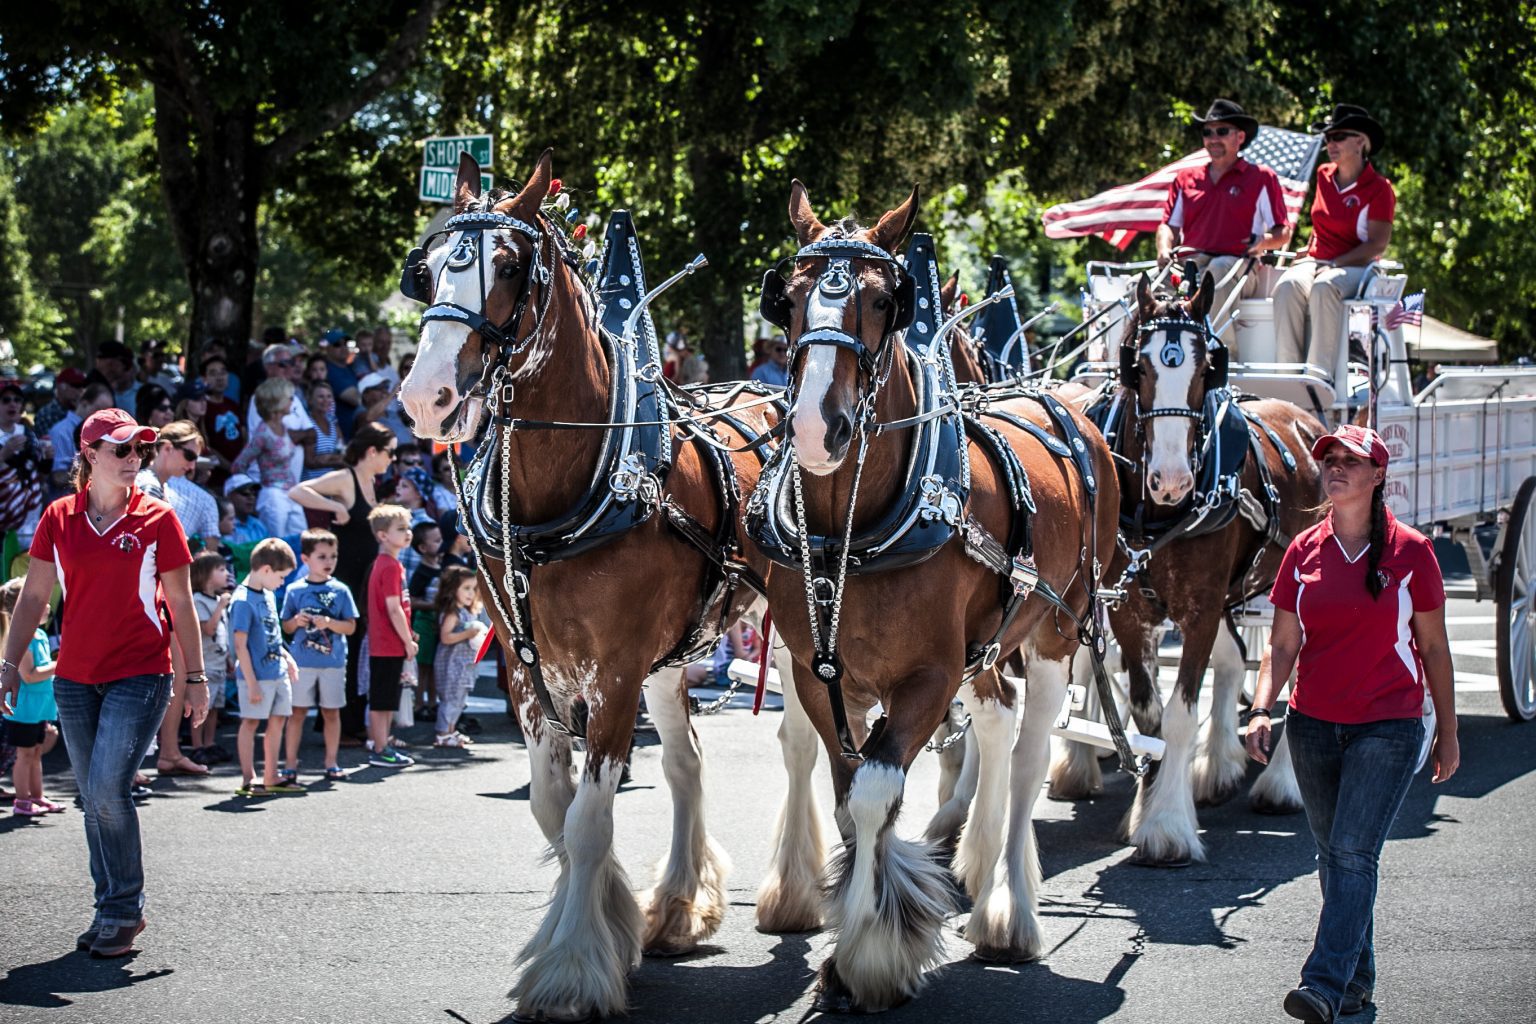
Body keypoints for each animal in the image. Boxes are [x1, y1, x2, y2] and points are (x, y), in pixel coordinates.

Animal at [396, 148, 804, 1019]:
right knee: (687, 763)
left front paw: (572, 969)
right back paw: (680, 905)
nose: (427, 395)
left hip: (792, 632)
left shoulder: (614, 673)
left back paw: (801, 891)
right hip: (673, 658)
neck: (569, 490)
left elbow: (587, 820)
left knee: (801, 744)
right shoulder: (527, 670)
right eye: (428, 266)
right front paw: (613, 922)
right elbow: (557, 810)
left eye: (508, 266)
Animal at [752, 181, 1118, 1007]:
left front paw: (868, 954)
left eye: (886, 299)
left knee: (1028, 753)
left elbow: (874, 792)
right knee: (996, 724)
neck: (849, 536)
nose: (816, 428)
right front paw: (856, 935)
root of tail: (1068, 405)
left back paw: (1009, 910)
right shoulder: (822, 679)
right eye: (788, 297)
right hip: (988, 648)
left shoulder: (927, 678)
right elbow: (849, 794)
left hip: (1057, 630)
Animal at [1050, 274, 1327, 865]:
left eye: (1206, 372)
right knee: (1235, 662)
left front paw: (1168, 827)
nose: (1172, 481)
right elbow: (1148, 714)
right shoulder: (1129, 609)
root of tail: (1306, 418)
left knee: (1292, 674)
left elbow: (1179, 715)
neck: (1158, 516)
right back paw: (1217, 766)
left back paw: (1282, 785)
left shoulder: (1198, 610)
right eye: (1138, 368)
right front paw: (1147, 804)